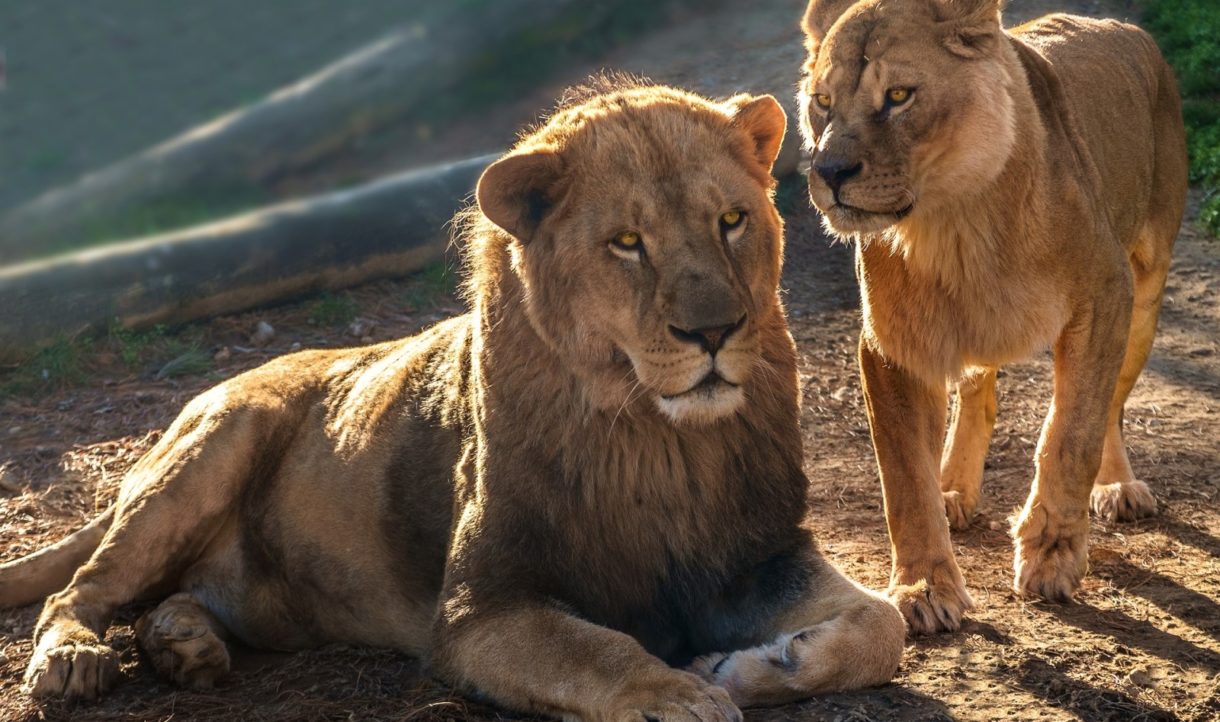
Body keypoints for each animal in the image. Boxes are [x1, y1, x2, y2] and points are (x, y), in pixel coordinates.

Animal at [2, 80, 907, 717]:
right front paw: (683, 694)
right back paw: (73, 661)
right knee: (76, 590)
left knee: (168, 601)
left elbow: (882, 627)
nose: (716, 331)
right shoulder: (479, 610)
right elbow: (597, 650)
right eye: (627, 242)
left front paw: (744, 668)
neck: (659, 442)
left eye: (731, 220)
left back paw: (185, 646)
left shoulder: (760, 557)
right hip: (214, 446)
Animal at [795, 0, 1185, 634]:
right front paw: (924, 587)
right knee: (979, 394)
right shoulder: (892, 343)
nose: (828, 172)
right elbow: (905, 477)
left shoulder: (1105, 295)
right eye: (822, 101)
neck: (956, 220)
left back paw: (1118, 486)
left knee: (1111, 406)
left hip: (1146, 293)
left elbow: (1072, 432)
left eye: (899, 95)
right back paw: (954, 490)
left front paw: (1050, 554)